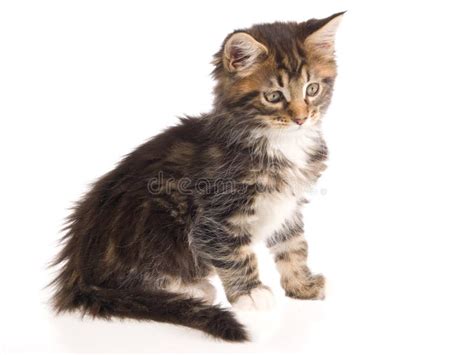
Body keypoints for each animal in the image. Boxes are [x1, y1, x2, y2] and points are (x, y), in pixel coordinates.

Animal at [50, 12, 344, 344]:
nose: (301, 118)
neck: (278, 142)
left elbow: (293, 245)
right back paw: (189, 288)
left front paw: (301, 285)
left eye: (312, 89)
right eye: (273, 96)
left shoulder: (288, 205)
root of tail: (77, 272)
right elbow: (234, 252)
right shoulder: (216, 214)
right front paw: (250, 293)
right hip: (155, 213)